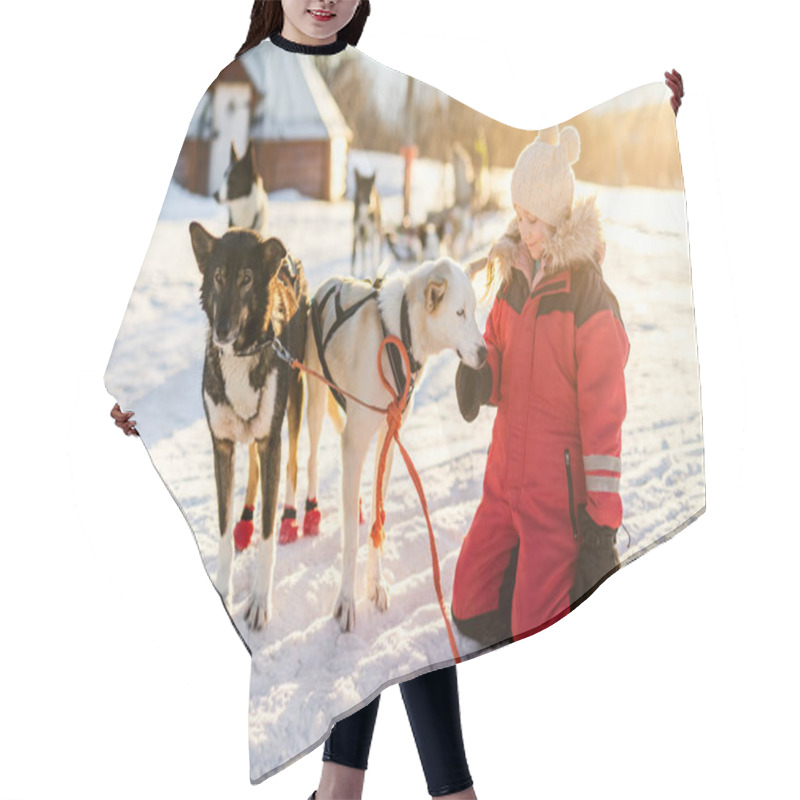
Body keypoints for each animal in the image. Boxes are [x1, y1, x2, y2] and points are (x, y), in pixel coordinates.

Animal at [189, 222, 308, 628]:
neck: (241, 354)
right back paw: (245, 520)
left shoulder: (271, 442)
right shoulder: (222, 446)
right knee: (253, 470)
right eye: (218, 277)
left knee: (293, 465)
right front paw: (223, 590)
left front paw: (259, 600)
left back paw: (292, 519)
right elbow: (223, 529)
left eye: (246, 278)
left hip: (295, 405)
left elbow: (268, 536)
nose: (222, 330)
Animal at [302, 256, 484, 632]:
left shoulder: (387, 436)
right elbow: (351, 541)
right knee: (310, 459)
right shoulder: (355, 442)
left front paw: (375, 583)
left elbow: (377, 518)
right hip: (315, 403)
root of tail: (329, 282)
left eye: (474, 311)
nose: (486, 353)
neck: (397, 335)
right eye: (459, 312)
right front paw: (346, 600)